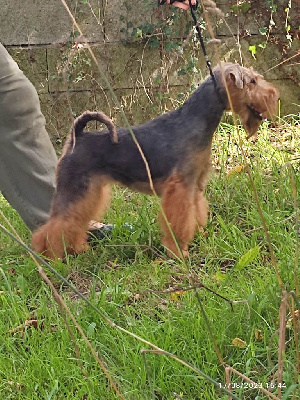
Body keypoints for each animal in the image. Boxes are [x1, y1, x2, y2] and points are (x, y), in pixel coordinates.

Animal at [32, 61, 278, 260]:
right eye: (252, 81)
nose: (274, 95)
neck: (196, 120)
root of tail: (78, 135)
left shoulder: (194, 186)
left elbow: (196, 213)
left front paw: (200, 235)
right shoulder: (180, 188)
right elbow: (179, 221)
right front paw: (178, 251)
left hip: (89, 193)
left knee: (72, 223)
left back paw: (76, 249)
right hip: (76, 190)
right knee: (53, 227)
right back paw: (51, 257)